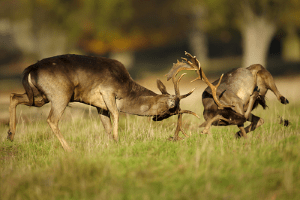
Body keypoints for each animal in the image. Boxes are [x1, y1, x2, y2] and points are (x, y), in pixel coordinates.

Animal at [7, 54, 199, 151]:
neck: (126, 91)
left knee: (14, 96)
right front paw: (116, 139)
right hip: (60, 94)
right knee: (51, 119)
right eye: (170, 109)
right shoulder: (107, 90)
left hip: (39, 96)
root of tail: (31, 68)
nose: (157, 119)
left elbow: (106, 124)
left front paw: (111, 143)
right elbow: (116, 114)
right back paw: (69, 149)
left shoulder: (100, 106)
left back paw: (10, 134)